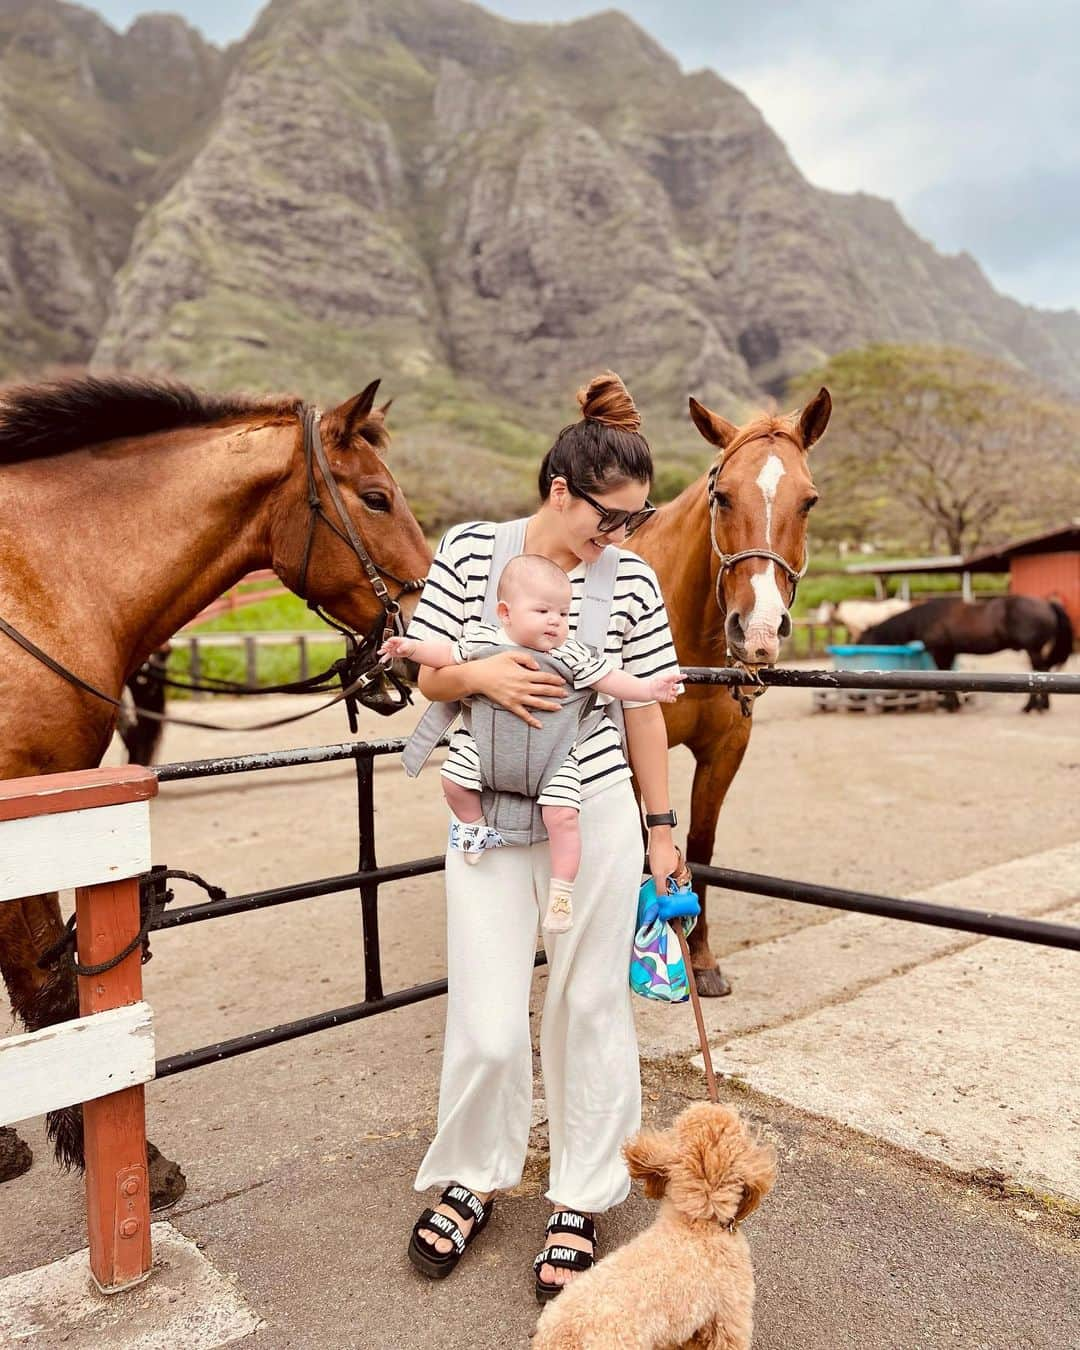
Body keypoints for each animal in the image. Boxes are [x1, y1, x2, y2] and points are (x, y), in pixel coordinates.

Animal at [629, 386, 831, 999]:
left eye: (809, 501)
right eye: (721, 496)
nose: (759, 629)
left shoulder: (725, 751)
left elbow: (699, 846)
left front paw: (699, 958)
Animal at [858, 596, 1069, 712]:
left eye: (862, 640)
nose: (860, 699)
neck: (926, 618)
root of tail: (1048, 604)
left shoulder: (939, 651)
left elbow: (943, 674)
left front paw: (948, 706)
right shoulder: (949, 652)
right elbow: (948, 676)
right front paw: (954, 704)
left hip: (1033, 650)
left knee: (1038, 673)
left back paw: (1032, 707)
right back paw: (1041, 706)